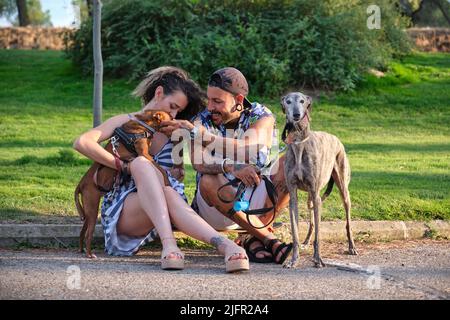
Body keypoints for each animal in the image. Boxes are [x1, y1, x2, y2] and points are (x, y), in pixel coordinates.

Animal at [74, 110, 172, 258]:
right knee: (88, 234)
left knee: (81, 232)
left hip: (87, 211)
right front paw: (167, 180)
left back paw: (81, 250)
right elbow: (161, 169)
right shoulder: (145, 155)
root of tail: (80, 184)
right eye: (171, 117)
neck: (144, 123)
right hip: (92, 208)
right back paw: (90, 254)